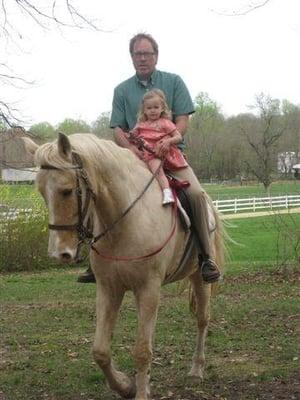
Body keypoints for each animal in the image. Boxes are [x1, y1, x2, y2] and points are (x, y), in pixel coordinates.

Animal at [25, 132, 223, 400]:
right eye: (41, 192)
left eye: (66, 191)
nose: (59, 253)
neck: (126, 221)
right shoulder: (109, 289)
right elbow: (100, 350)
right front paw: (126, 386)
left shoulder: (149, 289)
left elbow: (141, 351)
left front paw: (139, 392)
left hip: (198, 278)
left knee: (202, 319)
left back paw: (196, 370)